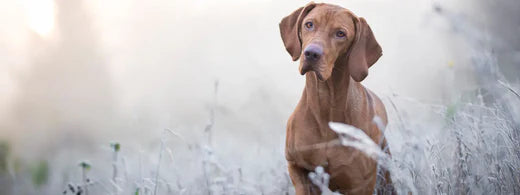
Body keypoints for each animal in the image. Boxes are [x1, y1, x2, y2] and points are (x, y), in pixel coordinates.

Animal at [280, 1, 394, 195]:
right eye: (309, 24)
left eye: (340, 33)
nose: (311, 53)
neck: (326, 105)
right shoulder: (297, 168)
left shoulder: (360, 184)